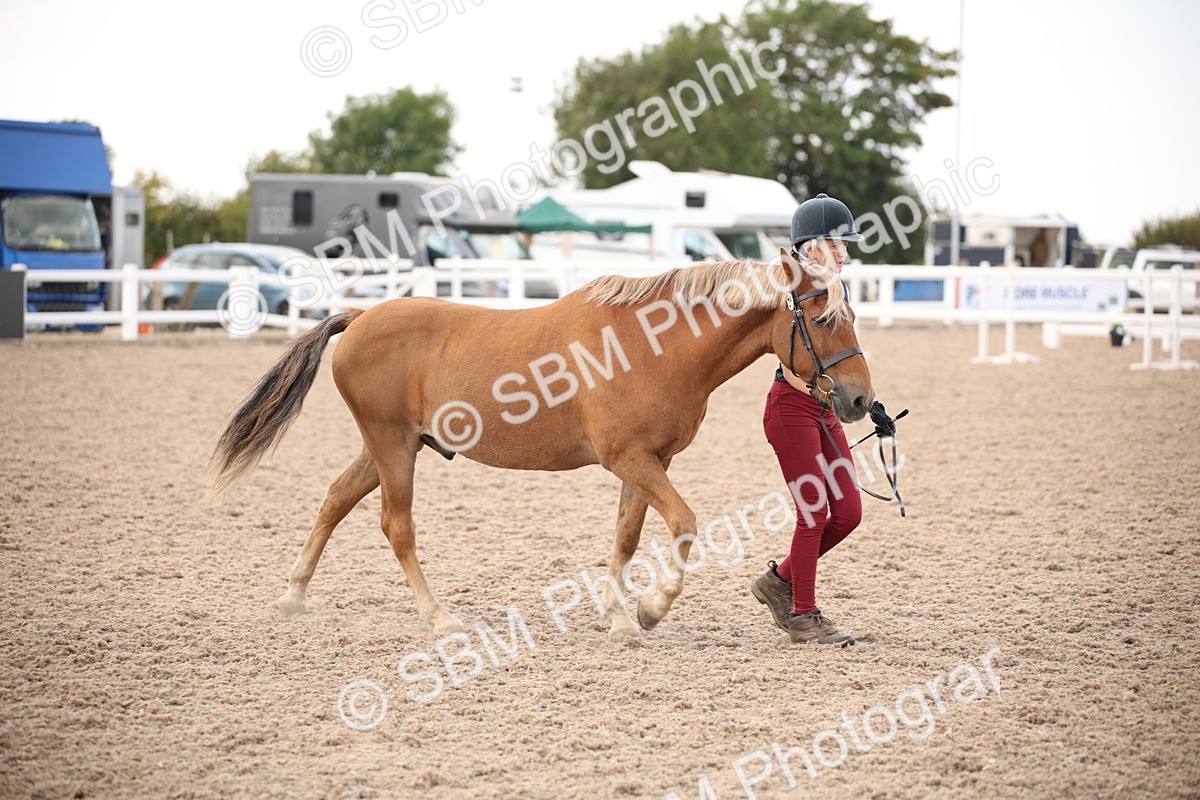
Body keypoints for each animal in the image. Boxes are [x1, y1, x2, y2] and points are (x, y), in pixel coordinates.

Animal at [207, 249, 875, 641]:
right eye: (822, 318)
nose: (859, 401)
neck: (654, 345)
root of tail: (359, 316)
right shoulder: (630, 459)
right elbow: (684, 523)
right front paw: (652, 609)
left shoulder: (648, 462)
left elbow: (626, 537)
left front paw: (618, 617)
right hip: (393, 448)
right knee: (395, 526)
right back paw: (438, 616)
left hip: (391, 447)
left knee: (335, 499)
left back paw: (293, 596)